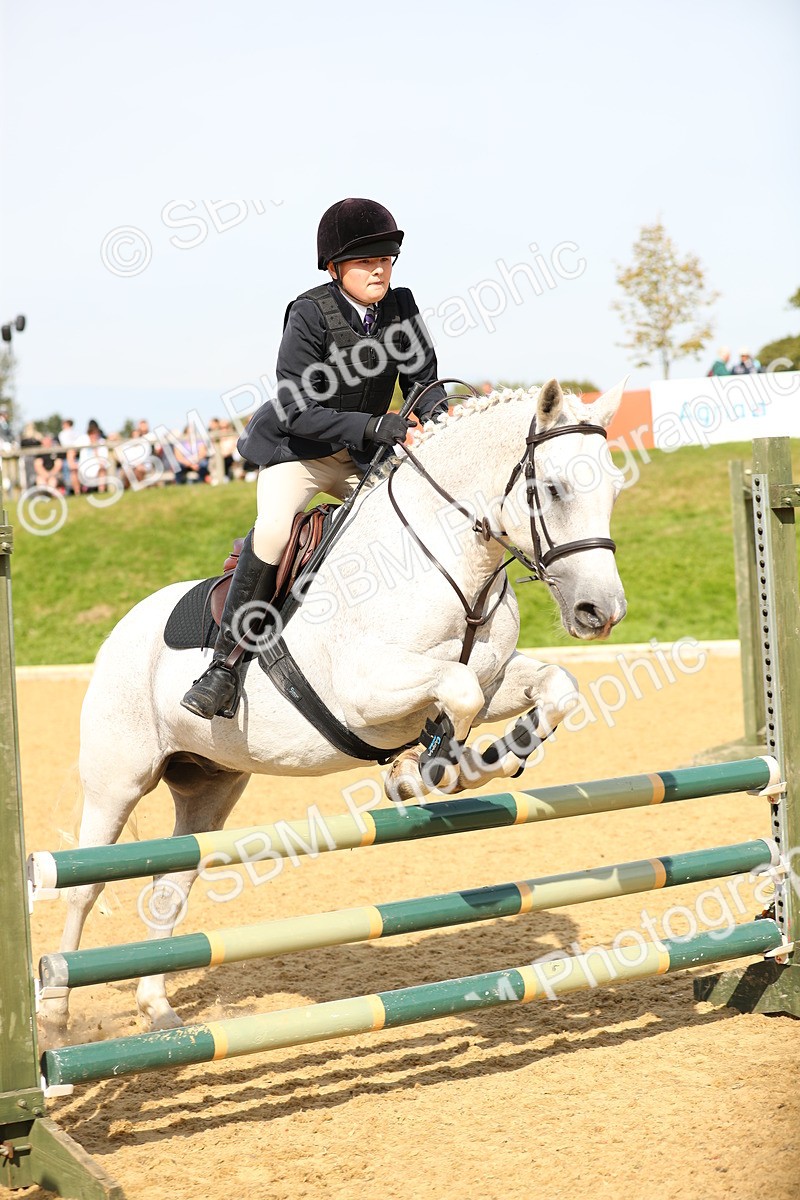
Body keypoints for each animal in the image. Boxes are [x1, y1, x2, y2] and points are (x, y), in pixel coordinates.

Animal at [40, 378, 627, 1040]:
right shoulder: (364, 690)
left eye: (611, 487)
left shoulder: (495, 675)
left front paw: (486, 759)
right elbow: (458, 692)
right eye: (552, 489)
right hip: (118, 780)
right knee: (83, 888)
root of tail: (119, 632)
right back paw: (54, 1020)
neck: (447, 560)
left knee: (170, 885)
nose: (601, 612)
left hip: (209, 789)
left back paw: (158, 1011)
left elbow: (550, 688)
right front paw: (428, 769)